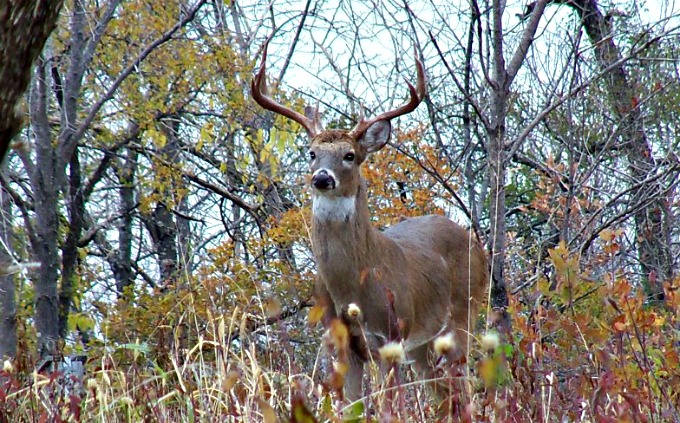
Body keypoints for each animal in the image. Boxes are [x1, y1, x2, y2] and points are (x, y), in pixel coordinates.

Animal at [251, 44, 488, 402]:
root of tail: (475, 241)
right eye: (311, 153)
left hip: (464, 312)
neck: (352, 287)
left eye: (349, 155)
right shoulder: (341, 344)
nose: (322, 178)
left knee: (465, 383)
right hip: (423, 344)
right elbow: (351, 404)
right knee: (443, 393)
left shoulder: (390, 334)